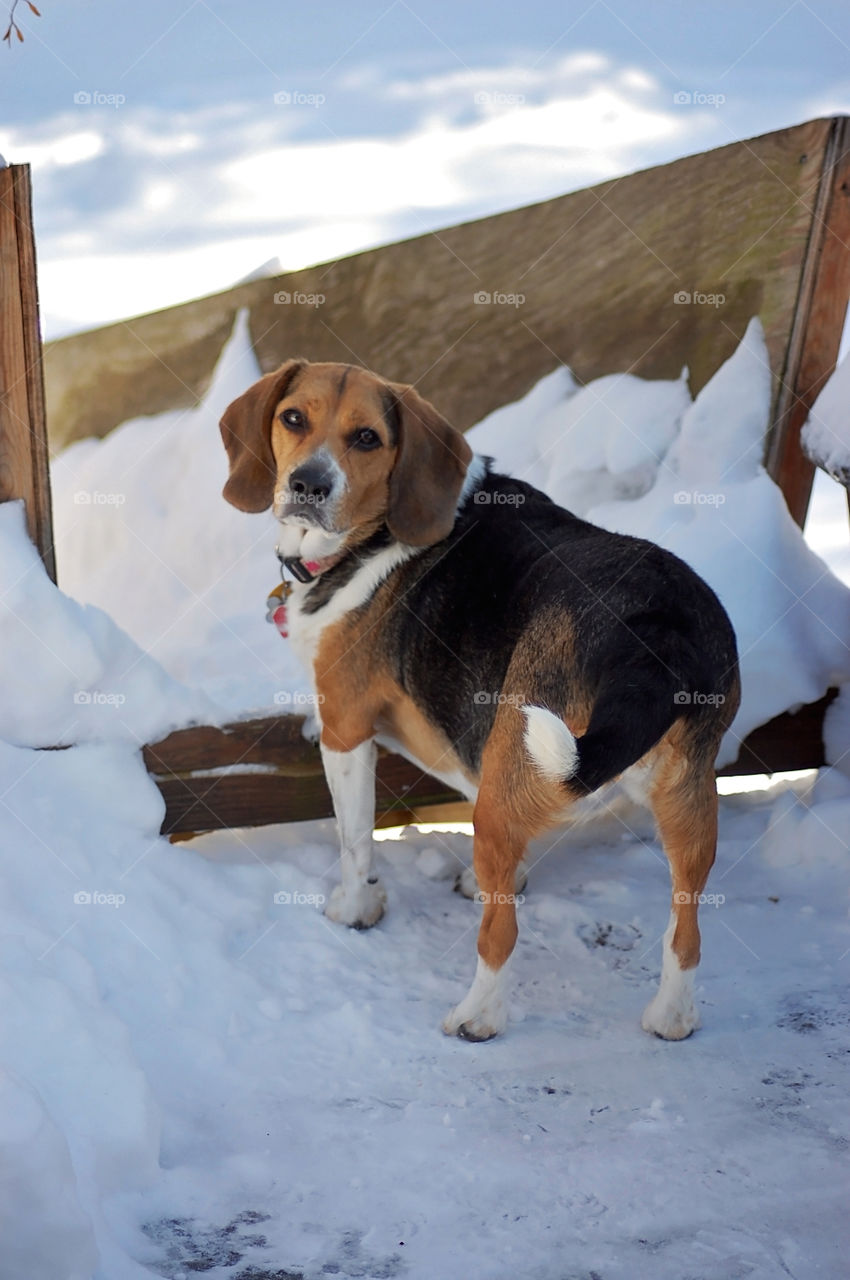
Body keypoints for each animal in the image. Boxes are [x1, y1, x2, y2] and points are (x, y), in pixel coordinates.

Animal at [218, 358, 737, 1039]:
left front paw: (355, 910)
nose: (308, 484)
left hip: (516, 771)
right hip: (689, 800)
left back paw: (475, 1017)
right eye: (293, 418)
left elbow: (355, 842)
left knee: (500, 934)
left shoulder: (346, 727)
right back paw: (671, 1016)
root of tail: (654, 627)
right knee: (688, 928)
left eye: (367, 438)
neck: (372, 536)